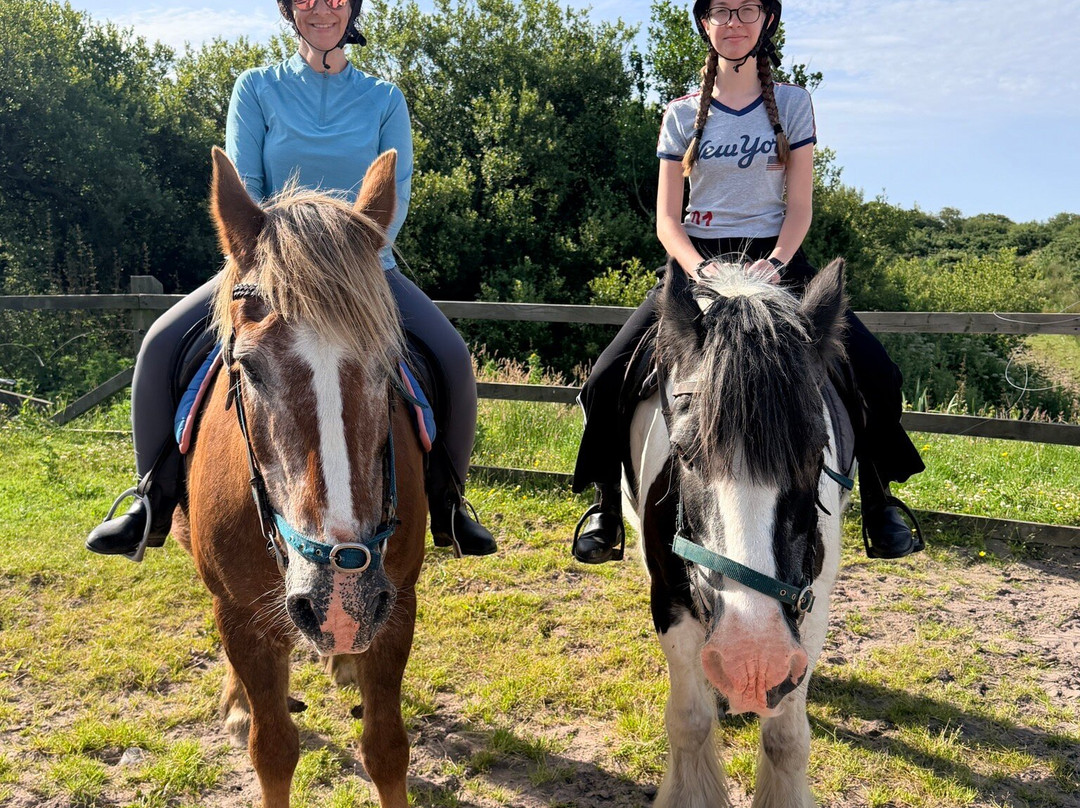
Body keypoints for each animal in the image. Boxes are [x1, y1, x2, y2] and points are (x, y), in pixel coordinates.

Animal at [171, 148, 426, 808]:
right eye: (248, 367)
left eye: (391, 364)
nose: (342, 601)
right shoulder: (240, 615)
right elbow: (273, 751)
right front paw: (247, 712)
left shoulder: (398, 603)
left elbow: (387, 748)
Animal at [624, 259, 853, 808]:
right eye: (684, 452)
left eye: (815, 453)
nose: (754, 664)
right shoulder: (669, 598)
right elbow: (689, 722)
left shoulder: (810, 606)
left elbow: (786, 738)